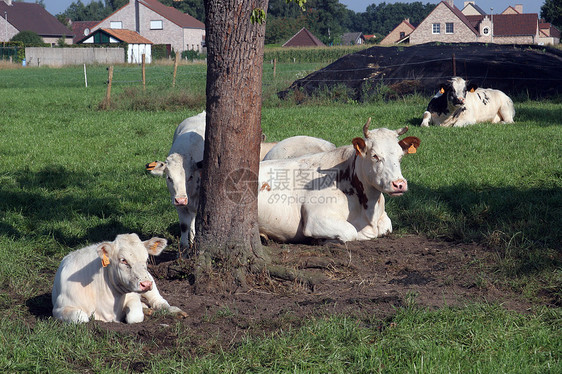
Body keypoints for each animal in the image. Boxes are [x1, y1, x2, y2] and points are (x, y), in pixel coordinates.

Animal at [256, 118, 418, 244]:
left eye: (400, 156)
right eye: (375, 156)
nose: (399, 184)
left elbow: (386, 227)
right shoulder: (317, 218)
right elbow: (351, 232)